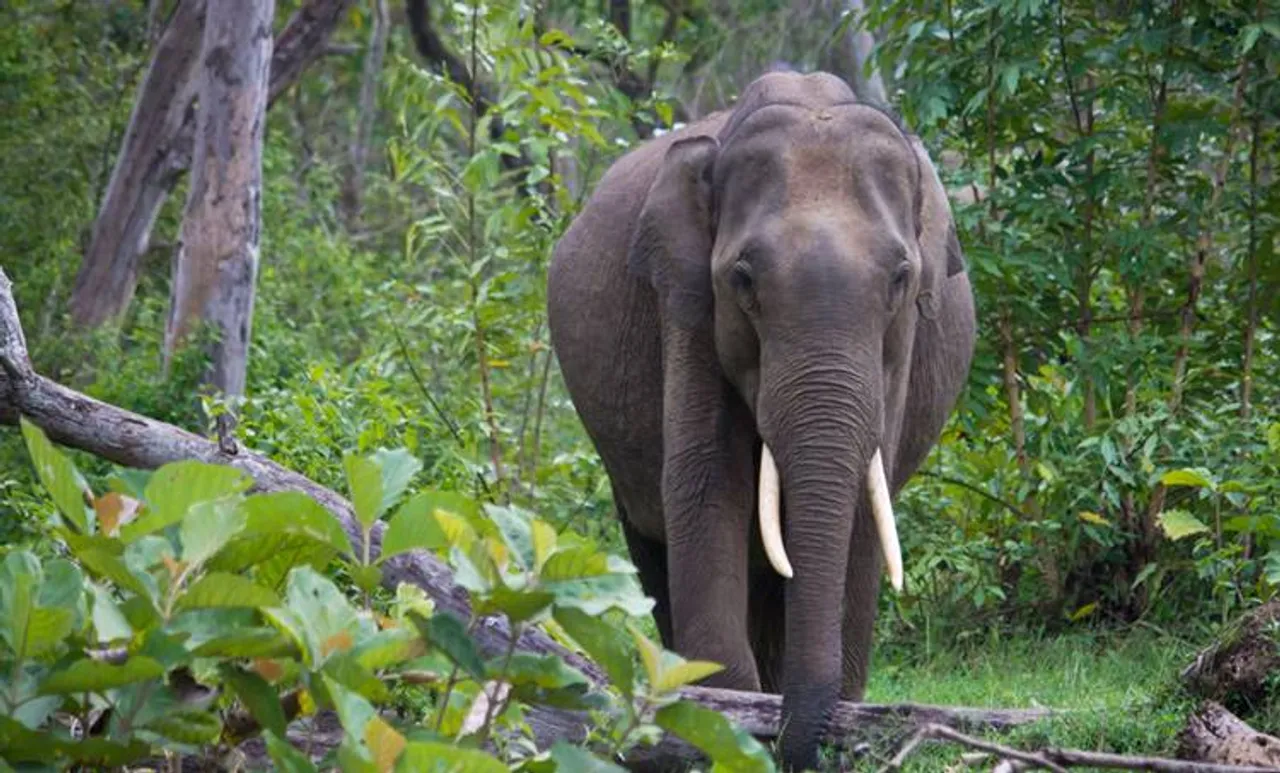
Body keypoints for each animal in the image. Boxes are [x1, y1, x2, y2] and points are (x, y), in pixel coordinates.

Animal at [546, 70, 976, 770]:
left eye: (900, 278)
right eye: (742, 279)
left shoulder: (904, 339)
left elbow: (867, 501)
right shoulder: (685, 301)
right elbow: (704, 483)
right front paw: (730, 723)